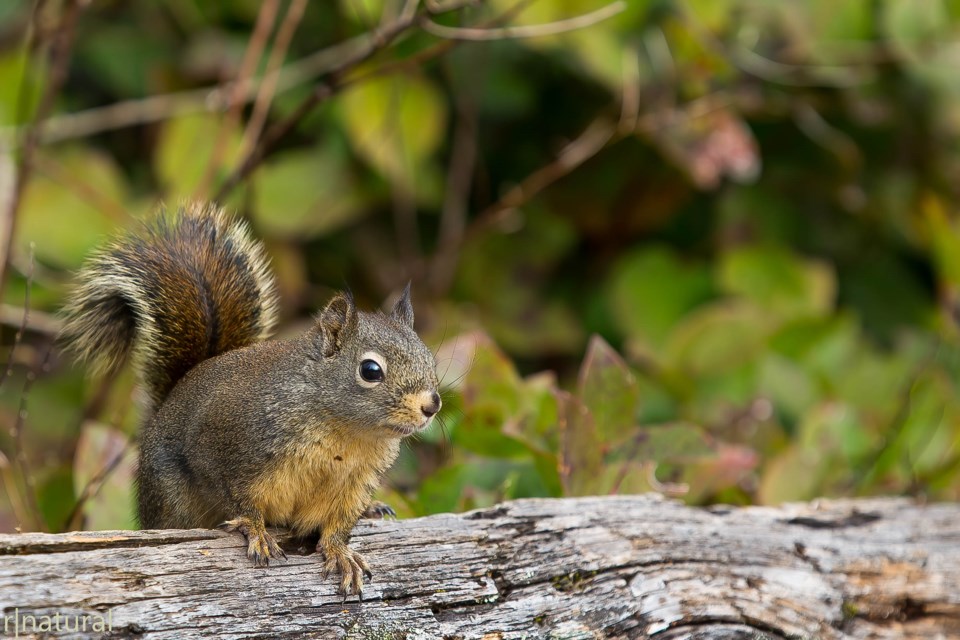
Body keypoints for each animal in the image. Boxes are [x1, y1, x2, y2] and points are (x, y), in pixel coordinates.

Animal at [62, 202, 444, 596]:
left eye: (430, 358)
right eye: (370, 370)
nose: (431, 406)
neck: (345, 432)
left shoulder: (354, 485)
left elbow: (339, 524)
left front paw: (341, 552)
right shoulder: (228, 447)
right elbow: (237, 497)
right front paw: (257, 530)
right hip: (171, 498)